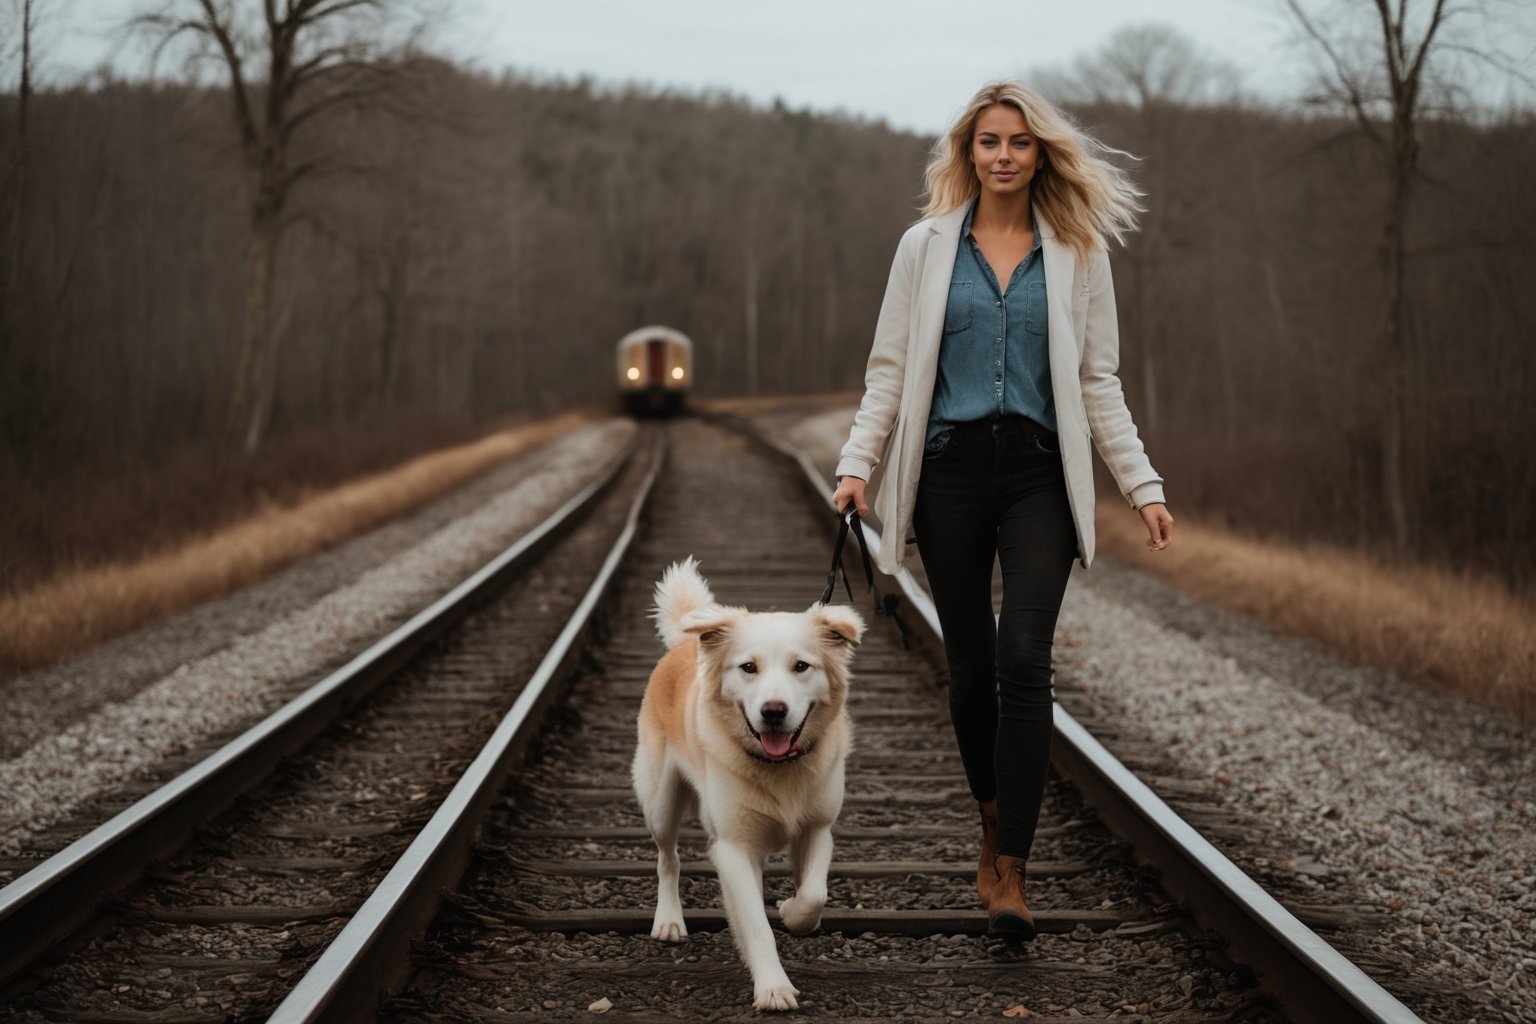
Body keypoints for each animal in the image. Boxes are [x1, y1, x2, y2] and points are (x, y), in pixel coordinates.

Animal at [626, 555, 866, 1013]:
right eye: (748, 667)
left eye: (801, 666)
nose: (773, 712)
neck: (778, 766)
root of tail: (683, 645)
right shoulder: (733, 847)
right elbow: (755, 924)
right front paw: (773, 987)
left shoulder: (818, 827)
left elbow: (814, 894)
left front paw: (792, 911)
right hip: (660, 802)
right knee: (668, 858)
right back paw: (669, 920)